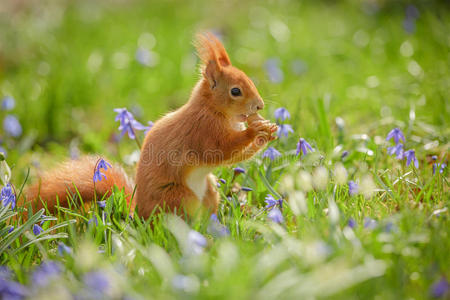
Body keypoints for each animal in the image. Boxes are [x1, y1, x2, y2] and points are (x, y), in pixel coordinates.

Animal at [24, 32, 280, 218]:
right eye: (235, 91)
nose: (259, 106)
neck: (211, 109)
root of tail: (139, 214)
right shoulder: (202, 131)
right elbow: (222, 151)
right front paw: (255, 131)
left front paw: (268, 131)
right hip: (179, 197)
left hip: (209, 190)